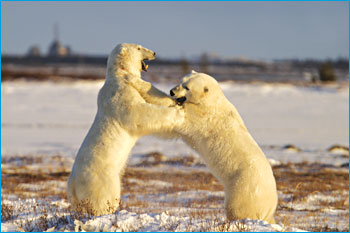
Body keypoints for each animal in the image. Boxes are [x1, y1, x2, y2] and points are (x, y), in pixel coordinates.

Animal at [66, 43, 185, 215]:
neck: (119, 74)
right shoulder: (120, 94)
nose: (154, 52)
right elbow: (139, 114)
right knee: (104, 198)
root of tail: (72, 188)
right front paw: (178, 111)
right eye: (139, 47)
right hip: (102, 179)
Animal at [133, 71, 278, 224]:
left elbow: (173, 110)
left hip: (244, 188)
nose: (172, 91)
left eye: (187, 87)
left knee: (237, 209)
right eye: (181, 81)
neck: (212, 101)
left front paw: (133, 80)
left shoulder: (201, 115)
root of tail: (271, 204)